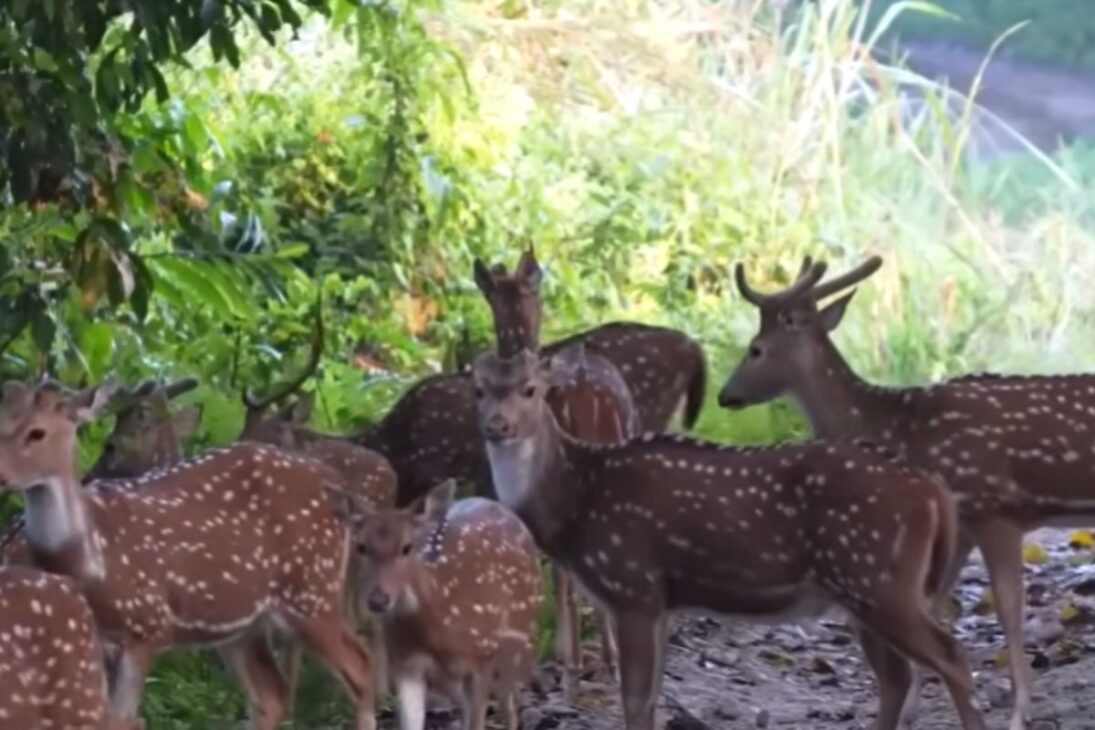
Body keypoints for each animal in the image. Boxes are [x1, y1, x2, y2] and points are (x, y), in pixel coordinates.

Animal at [331, 478, 544, 730]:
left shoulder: (482, 656)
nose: (378, 599)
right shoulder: (405, 664)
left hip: (516, 646)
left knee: (510, 706)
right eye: (361, 546)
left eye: (407, 546)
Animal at [471, 346, 987, 730]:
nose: (496, 424)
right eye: (479, 389)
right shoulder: (660, 600)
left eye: (531, 389)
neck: (576, 503)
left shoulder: (632, 583)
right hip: (865, 590)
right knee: (897, 676)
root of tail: (933, 492)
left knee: (951, 656)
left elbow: (635, 701)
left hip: (879, 578)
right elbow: (652, 699)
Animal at [719, 254, 1095, 730]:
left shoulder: (995, 506)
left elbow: (1009, 611)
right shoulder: (959, 524)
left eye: (755, 348)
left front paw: (1020, 714)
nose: (724, 395)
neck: (900, 426)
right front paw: (913, 706)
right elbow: (934, 605)